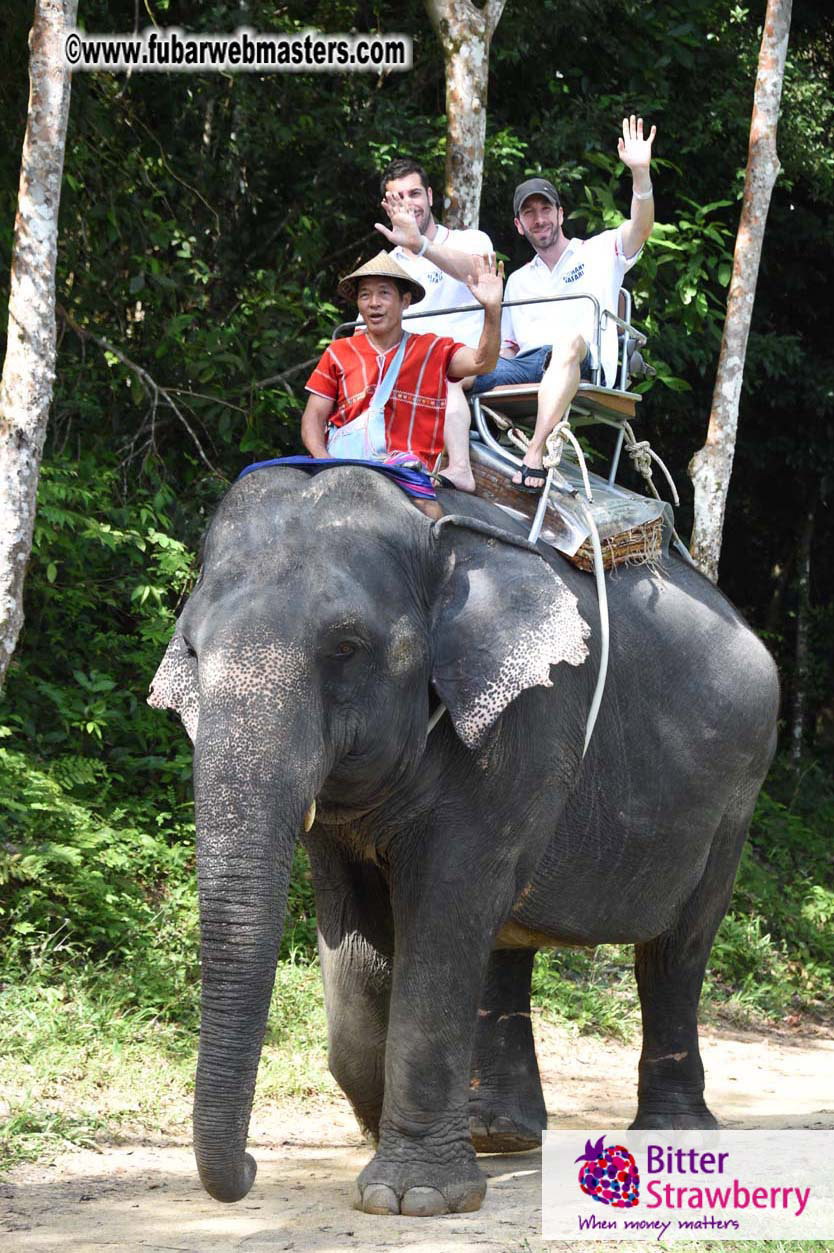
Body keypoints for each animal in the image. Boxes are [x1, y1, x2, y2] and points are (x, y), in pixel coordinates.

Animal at [149, 463, 779, 1217]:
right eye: (191, 649)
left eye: (345, 649)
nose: (246, 1167)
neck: (433, 538)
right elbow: (356, 935)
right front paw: (389, 1137)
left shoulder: (532, 718)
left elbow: (446, 906)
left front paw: (412, 1196)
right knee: (509, 937)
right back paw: (501, 1133)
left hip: (734, 794)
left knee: (676, 949)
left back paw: (672, 1136)